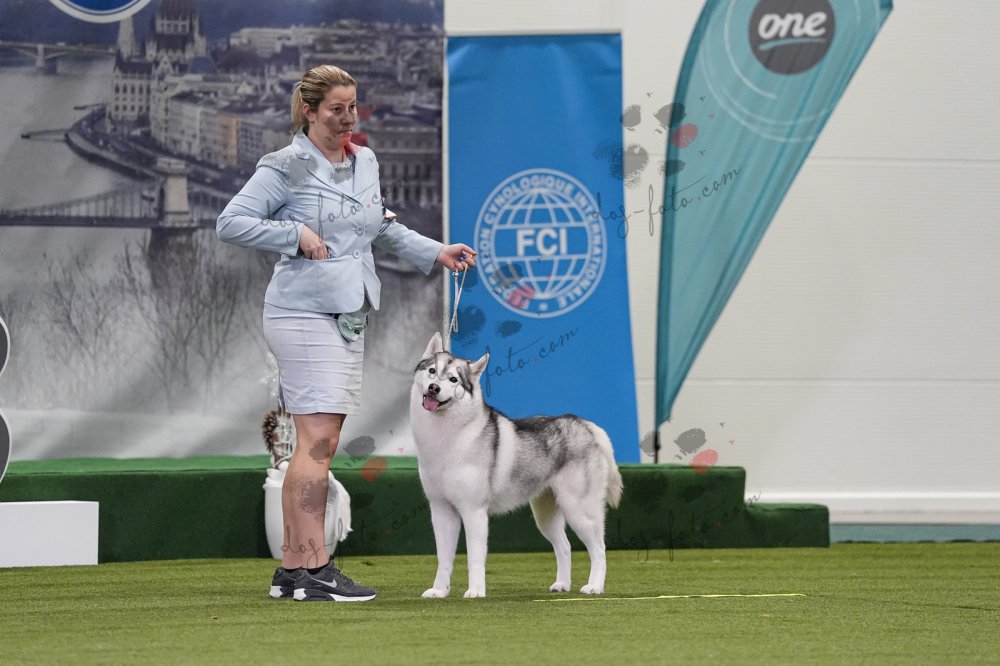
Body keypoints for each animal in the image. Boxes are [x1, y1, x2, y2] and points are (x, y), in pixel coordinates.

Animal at [410, 333, 623, 598]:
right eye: (431, 371)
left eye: (453, 379)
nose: (434, 388)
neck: (446, 437)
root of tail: (586, 425)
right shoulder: (441, 511)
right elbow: (443, 558)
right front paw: (439, 591)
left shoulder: (473, 511)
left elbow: (474, 558)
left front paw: (476, 591)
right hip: (545, 516)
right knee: (564, 546)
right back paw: (562, 584)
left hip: (580, 511)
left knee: (599, 549)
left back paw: (594, 586)